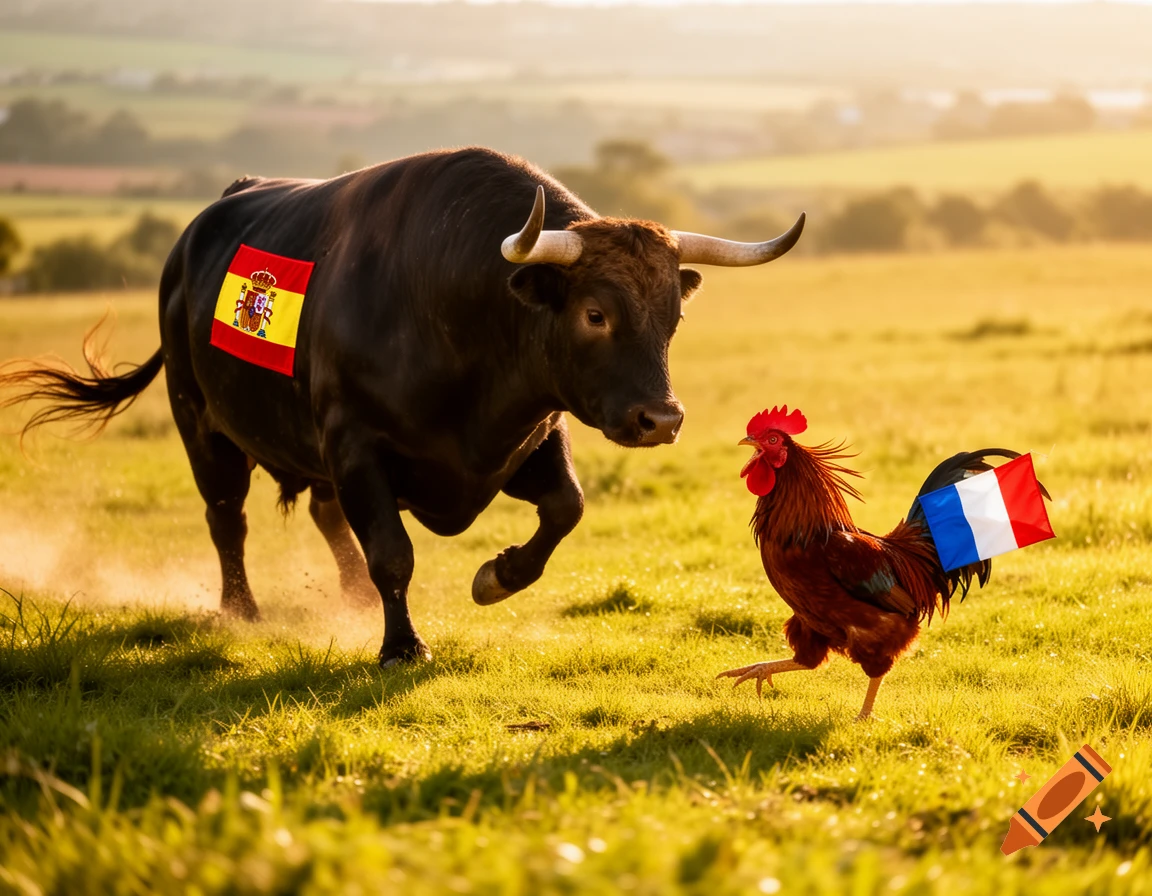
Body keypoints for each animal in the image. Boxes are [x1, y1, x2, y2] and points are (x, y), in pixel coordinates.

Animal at [0, 147, 803, 666]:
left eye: (672, 315)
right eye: (595, 314)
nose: (660, 420)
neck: (455, 308)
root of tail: (194, 235)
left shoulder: (533, 435)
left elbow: (566, 508)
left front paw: (496, 576)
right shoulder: (358, 446)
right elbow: (394, 551)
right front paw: (402, 645)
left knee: (323, 515)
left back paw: (350, 597)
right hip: (201, 424)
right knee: (227, 518)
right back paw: (241, 611)